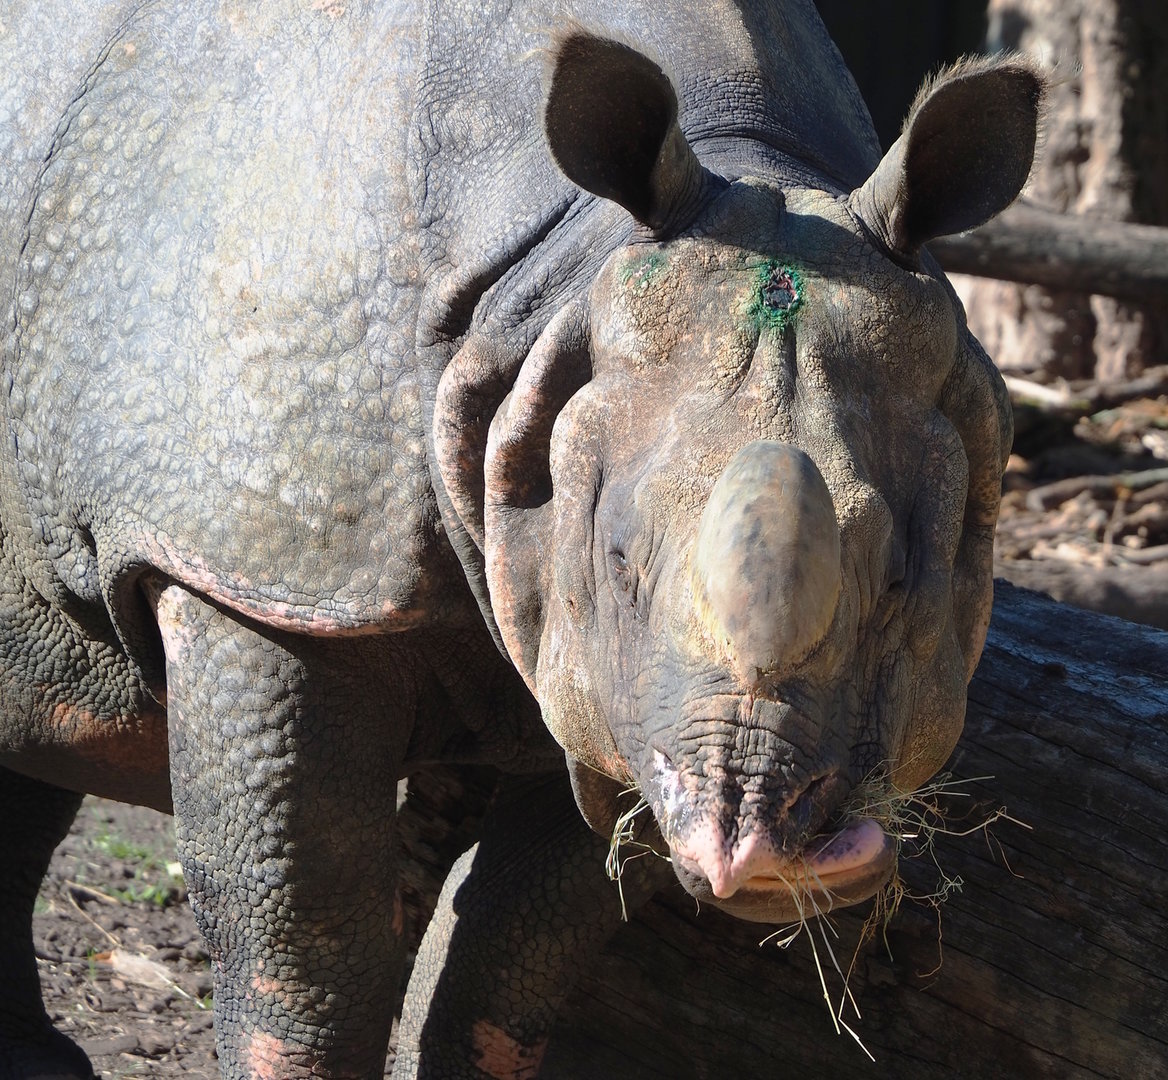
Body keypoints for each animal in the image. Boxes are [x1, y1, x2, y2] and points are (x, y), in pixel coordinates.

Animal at [0, 0, 1041, 1076]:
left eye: (898, 584)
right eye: (618, 561)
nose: (761, 853)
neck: (557, 283)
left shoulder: (604, 678)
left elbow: (517, 951)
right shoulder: (256, 573)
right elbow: (304, 941)